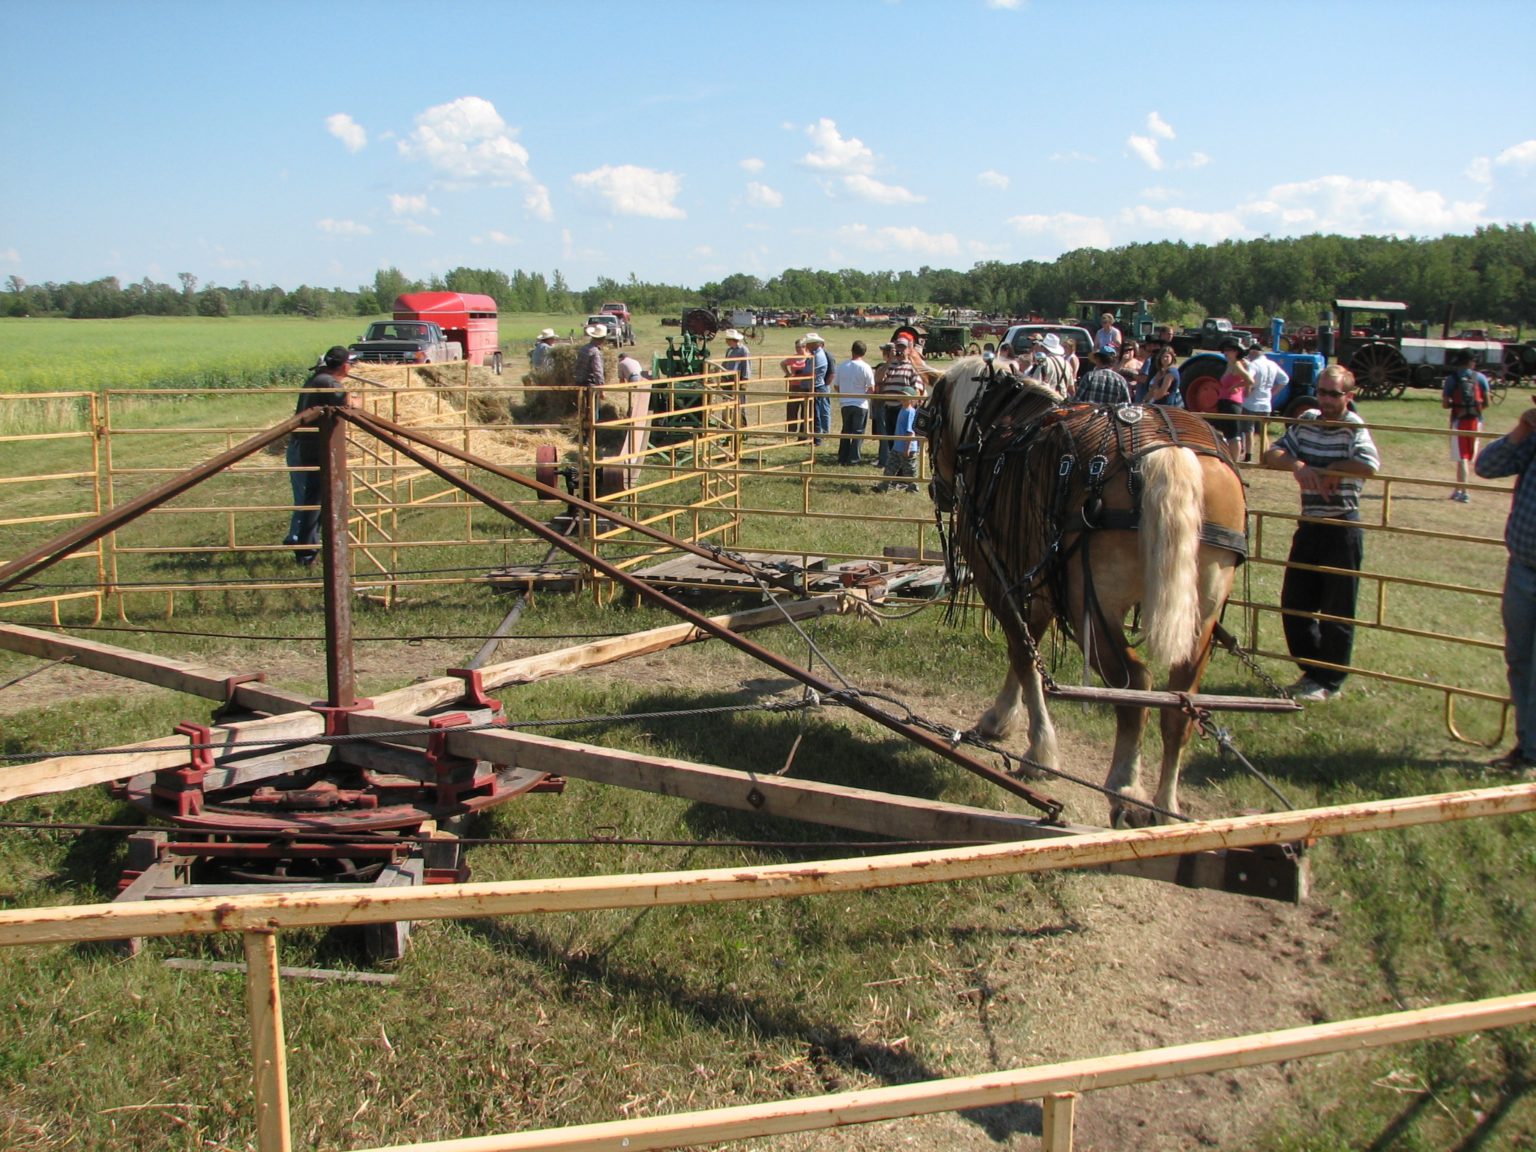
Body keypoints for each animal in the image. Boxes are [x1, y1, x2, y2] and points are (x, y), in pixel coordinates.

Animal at [921, 360, 1247, 829]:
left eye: (926, 421)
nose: (939, 490)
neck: (1000, 425)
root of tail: (1170, 454)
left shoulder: (996, 571)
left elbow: (1022, 650)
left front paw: (1039, 751)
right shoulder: (1038, 580)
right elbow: (1028, 649)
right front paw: (1003, 718)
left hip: (1093, 603)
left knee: (1136, 685)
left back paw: (1125, 789)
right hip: (1201, 615)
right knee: (1179, 705)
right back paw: (1166, 807)